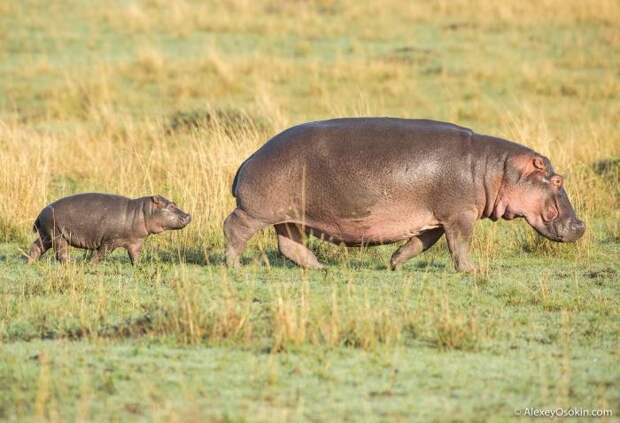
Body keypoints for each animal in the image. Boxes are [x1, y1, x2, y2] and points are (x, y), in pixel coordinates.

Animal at [27, 195, 191, 264]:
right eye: (171, 205)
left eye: (174, 203)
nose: (188, 215)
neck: (143, 212)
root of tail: (40, 213)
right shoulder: (109, 241)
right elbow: (100, 255)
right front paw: (91, 265)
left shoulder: (136, 243)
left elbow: (135, 257)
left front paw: (139, 267)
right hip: (58, 235)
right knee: (61, 254)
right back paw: (71, 264)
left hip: (46, 235)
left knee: (36, 247)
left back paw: (30, 263)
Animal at [224, 117, 588, 274]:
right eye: (557, 179)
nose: (581, 225)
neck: (495, 169)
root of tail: (249, 159)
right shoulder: (459, 215)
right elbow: (460, 245)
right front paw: (471, 271)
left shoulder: (435, 220)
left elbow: (419, 244)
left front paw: (394, 263)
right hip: (256, 211)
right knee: (234, 228)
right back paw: (234, 265)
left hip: (288, 217)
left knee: (290, 245)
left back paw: (319, 268)